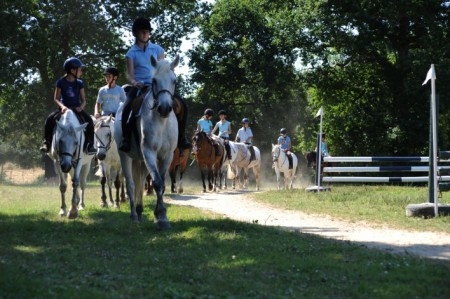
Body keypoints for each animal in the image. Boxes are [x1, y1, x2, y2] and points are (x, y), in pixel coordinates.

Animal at [113, 55, 180, 230]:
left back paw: (140, 211)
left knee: (140, 181)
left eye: (174, 81)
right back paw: (134, 215)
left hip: (141, 160)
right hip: (125, 156)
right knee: (130, 184)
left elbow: (162, 183)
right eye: (154, 80)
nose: (164, 108)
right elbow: (157, 183)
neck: (162, 122)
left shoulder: (167, 156)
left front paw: (160, 216)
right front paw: (162, 218)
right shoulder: (149, 152)